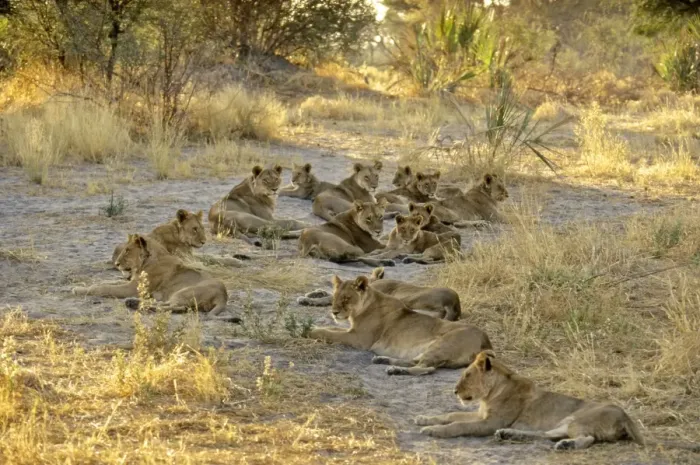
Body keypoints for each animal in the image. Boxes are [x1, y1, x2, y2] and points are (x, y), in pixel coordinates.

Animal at [73, 234, 236, 320]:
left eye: (127, 250)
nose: (117, 264)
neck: (146, 261)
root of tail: (223, 296)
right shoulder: (132, 282)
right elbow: (107, 281)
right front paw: (79, 286)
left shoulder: (133, 288)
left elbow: (104, 287)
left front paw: (78, 290)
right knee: (170, 305)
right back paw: (134, 303)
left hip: (183, 292)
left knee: (178, 307)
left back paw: (137, 305)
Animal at [306, 274, 491, 375]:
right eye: (335, 297)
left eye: (346, 298)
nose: (334, 312)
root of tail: (487, 342)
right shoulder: (352, 331)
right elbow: (331, 329)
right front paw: (312, 327)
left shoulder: (359, 339)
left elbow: (329, 333)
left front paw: (308, 331)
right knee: (416, 361)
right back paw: (383, 360)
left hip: (442, 344)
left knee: (427, 368)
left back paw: (395, 370)